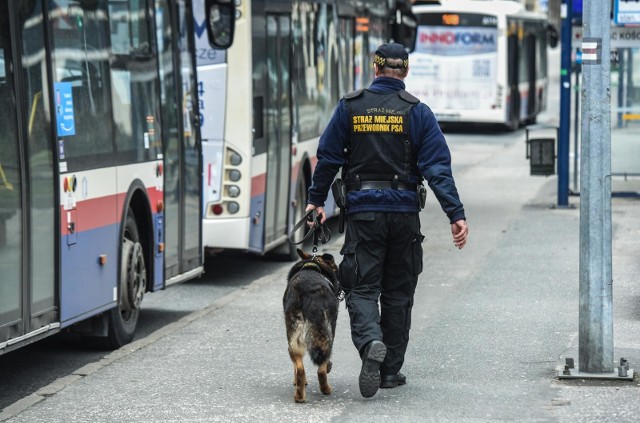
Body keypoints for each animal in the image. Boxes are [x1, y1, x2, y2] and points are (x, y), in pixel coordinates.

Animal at [284, 250, 340, 402]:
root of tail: (308, 291)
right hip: (325, 333)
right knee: (321, 368)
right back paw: (326, 389)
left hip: (294, 335)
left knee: (299, 367)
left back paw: (299, 395)